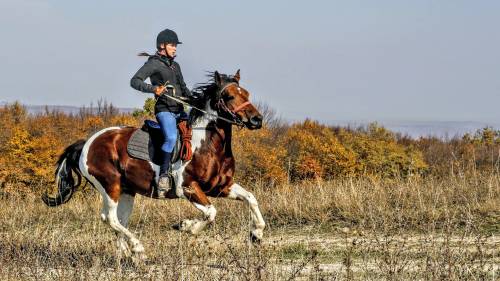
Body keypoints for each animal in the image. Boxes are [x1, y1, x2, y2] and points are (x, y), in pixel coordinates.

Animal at [43, 70, 266, 258]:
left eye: (246, 93)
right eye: (229, 96)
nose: (257, 120)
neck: (208, 144)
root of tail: (87, 143)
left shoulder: (221, 186)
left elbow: (251, 198)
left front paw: (256, 234)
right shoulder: (188, 187)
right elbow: (211, 212)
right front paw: (186, 226)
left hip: (127, 191)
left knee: (119, 221)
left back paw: (127, 254)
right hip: (110, 185)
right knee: (110, 218)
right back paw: (137, 248)